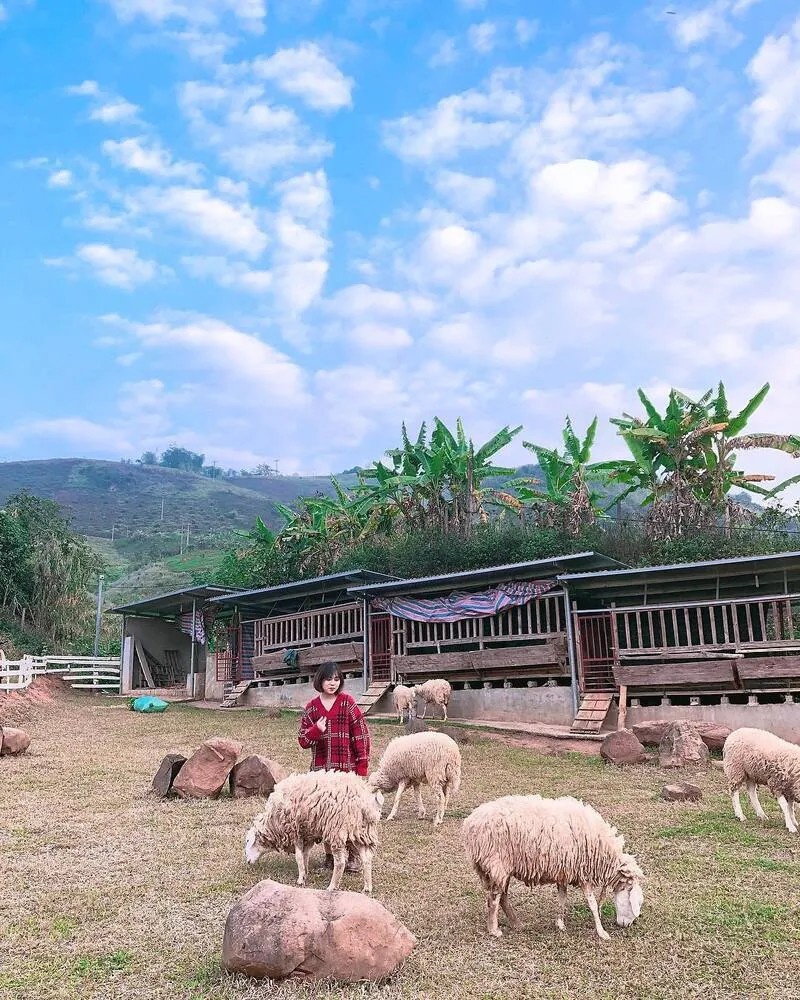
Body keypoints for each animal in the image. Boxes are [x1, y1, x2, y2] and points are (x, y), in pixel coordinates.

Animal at [241, 768, 384, 896]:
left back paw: (332, 887)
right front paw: (305, 873)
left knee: (340, 863)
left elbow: (299, 857)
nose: (247, 861)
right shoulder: (308, 833)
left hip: (337, 830)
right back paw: (367, 887)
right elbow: (305, 855)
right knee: (366, 859)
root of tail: (366, 802)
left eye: (248, 841)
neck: (274, 823)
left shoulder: (294, 831)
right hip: (361, 832)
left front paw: (300, 880)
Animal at [462, 792, 644, 940]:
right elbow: (592, 904)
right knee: (494, 898)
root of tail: (470, 823)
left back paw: (516, 923)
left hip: (501, 867)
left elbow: (562, 897)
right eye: (636, 903)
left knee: (503, 897)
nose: (626, 925)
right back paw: (494, 930)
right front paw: (601, 932)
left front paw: (560, 923)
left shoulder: (565, 870)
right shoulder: (583, 872)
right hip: (497, 863)